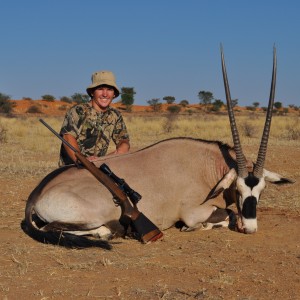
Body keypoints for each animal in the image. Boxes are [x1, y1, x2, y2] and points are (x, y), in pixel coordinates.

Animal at [25, 47, 292, 248]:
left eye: (262, 190)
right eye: (237, 189)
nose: (250, 228)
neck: (206, 167)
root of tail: (36, 194)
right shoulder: (194, 212)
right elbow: (226, 216)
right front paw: (201, 226)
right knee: (57, 227)